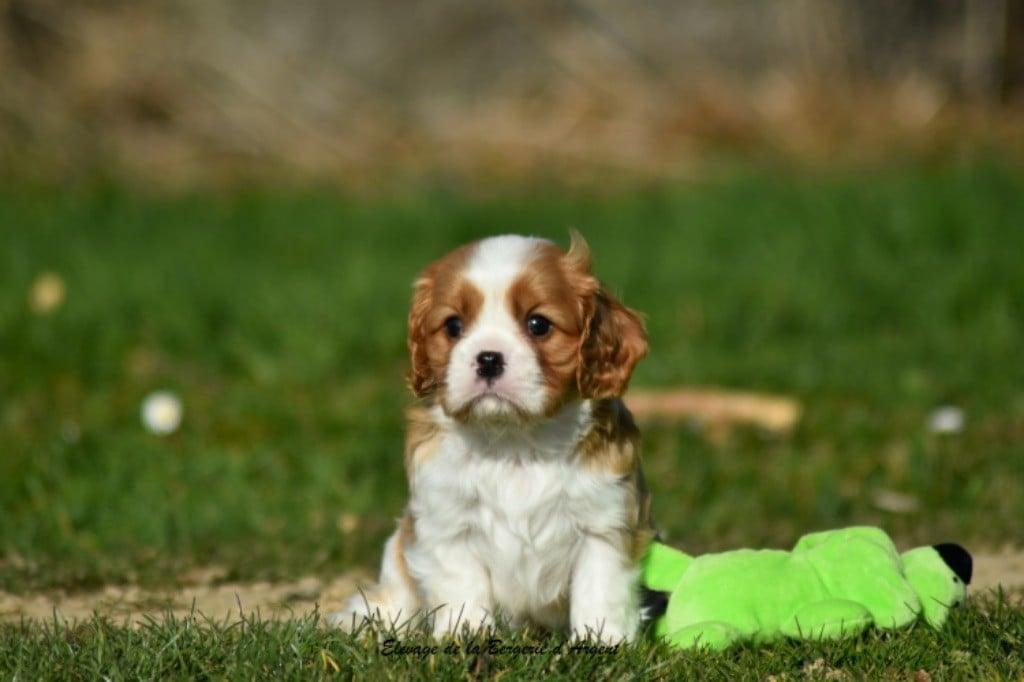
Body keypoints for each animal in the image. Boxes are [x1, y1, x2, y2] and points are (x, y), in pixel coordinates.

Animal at [327, 231, 647, 638]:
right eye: (453, 326)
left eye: (538, 324)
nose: (489, 358)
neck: (514, 441)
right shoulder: (447, 522)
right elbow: (461, 585)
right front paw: (465, 636)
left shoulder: (603, 523)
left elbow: (599, 589)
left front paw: (602, 640)